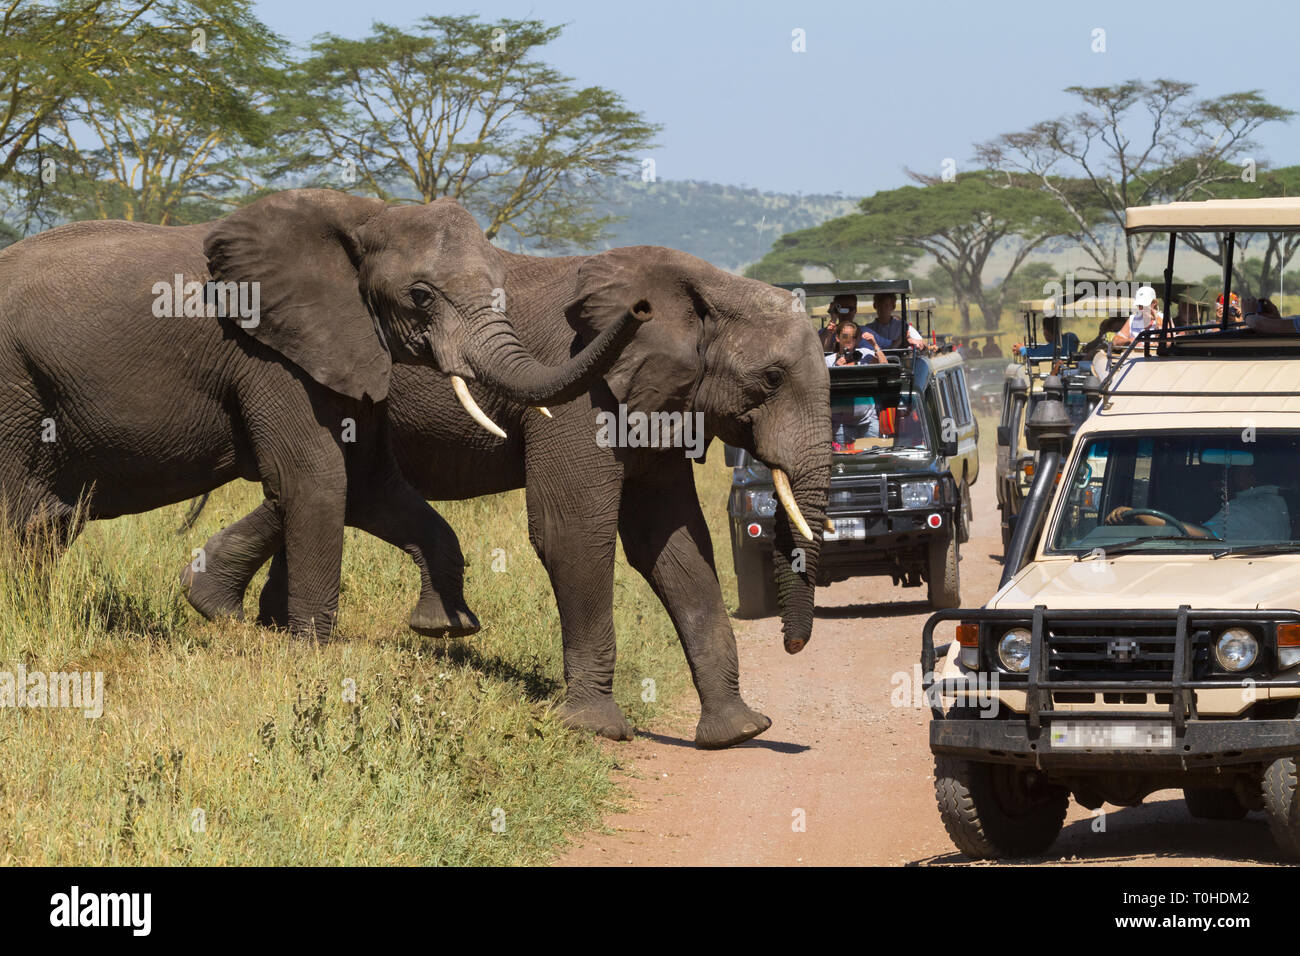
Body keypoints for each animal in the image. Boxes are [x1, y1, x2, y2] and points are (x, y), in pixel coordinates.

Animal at [0, 187, 650, 639]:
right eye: (421, 296)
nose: (641, 307)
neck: (366, 214)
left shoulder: (343, 346)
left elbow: (367, 482)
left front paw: (446, 631)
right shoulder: (270, 351)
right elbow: (315, 478)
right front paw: (310, 651)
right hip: (13, 378)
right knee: (27, 510)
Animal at [184, 248, 832, 754]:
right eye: (772, 380)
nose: (794, 644)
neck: (704, 283)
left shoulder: (661, 400)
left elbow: (672, 545)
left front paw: (739, 733)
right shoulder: (584, 394)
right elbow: (572, 529)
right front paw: (595, 729)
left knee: (333, 487)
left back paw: (232, 610)